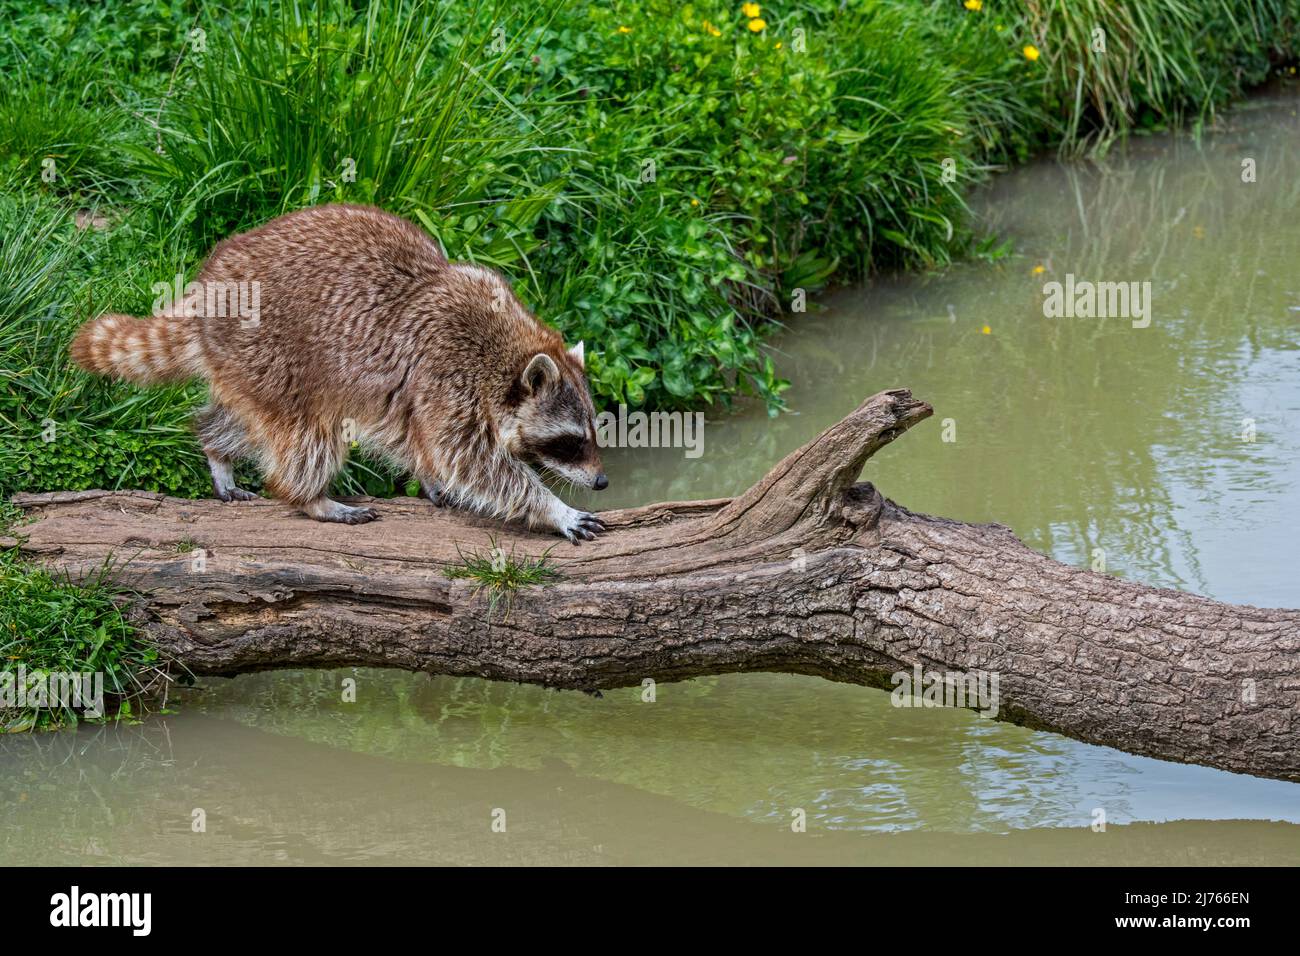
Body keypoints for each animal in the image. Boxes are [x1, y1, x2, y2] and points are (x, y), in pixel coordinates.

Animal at [73, 204, 611, 541]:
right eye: (570, 442)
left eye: (593, 433)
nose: (603, 482)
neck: (508, 350)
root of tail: (206, 288)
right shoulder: (448, 371)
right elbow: (473, 461)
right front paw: (553, 508)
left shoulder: (416, 390)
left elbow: (413, 436)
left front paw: (429, 476)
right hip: (271, 348)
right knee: (305, 433)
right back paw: (310, 498)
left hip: (245, 361)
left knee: (243, 417)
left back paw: (216, 448)